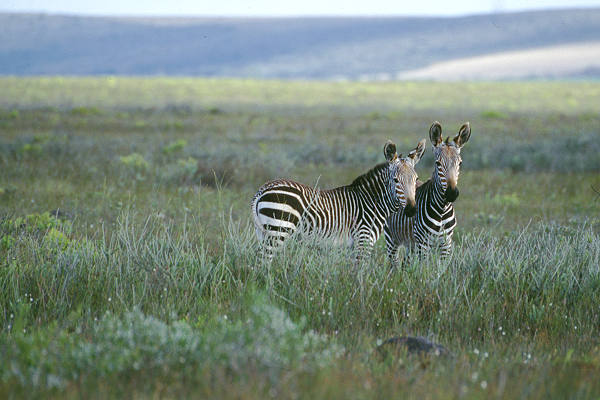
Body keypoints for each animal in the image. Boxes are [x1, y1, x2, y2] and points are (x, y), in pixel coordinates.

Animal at [250, 139, 426, 260]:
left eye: (416, 179)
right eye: (395, 180)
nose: (411, 210)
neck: (372, 202)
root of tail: (263, 189)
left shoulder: (354, 246)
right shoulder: (363, 240)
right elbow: (360, 275)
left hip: (264, 232)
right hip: (278, 230)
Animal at [384, 121, 474, 262]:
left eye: (460, 163)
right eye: (438, 163)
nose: (451, 193)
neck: (442, 209)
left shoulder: (446, 244)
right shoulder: (423, 244)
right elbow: (424, 267)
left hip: (410, 245)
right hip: (392, 239)